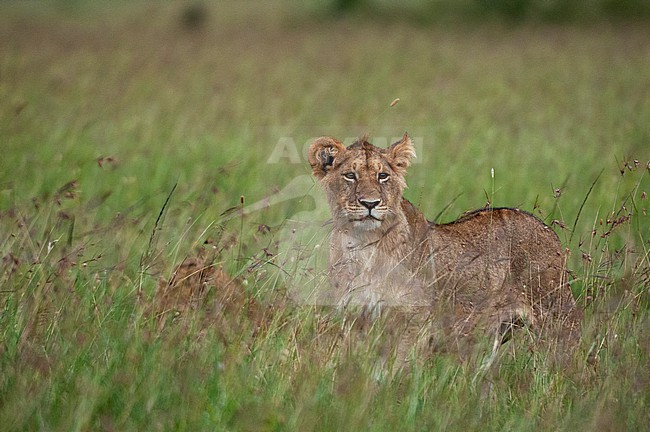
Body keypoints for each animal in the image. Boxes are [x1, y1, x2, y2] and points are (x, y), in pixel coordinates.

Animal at [308, 133, 582, 368]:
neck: (363, 245)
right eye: (350, 176)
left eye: (382, 176)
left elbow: (395, 367)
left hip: (557, 318)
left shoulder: (414, 321)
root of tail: (546, 228)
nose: (370, 203)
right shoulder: (354, 319)